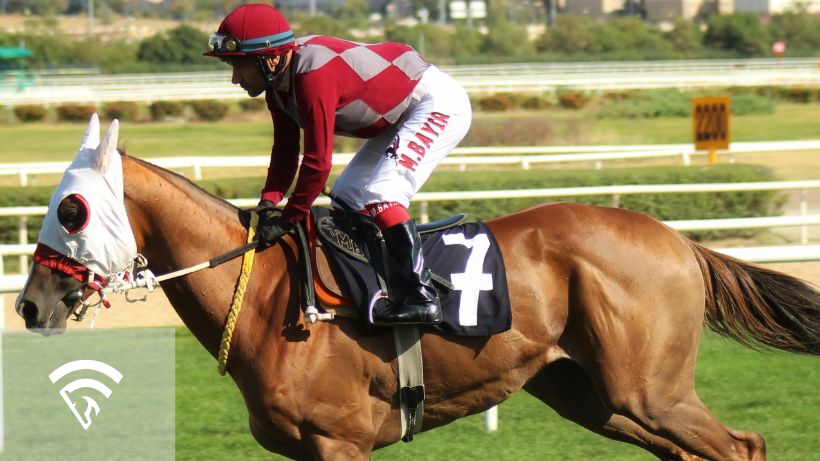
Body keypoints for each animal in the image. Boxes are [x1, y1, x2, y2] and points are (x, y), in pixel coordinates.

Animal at [15, 117, 820, 460]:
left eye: (71, 210)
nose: (29, 304)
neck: (274, 299)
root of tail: (679, 241)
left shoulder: (339, 442)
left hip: (650, 390)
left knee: (741, 446)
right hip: (592, 395)